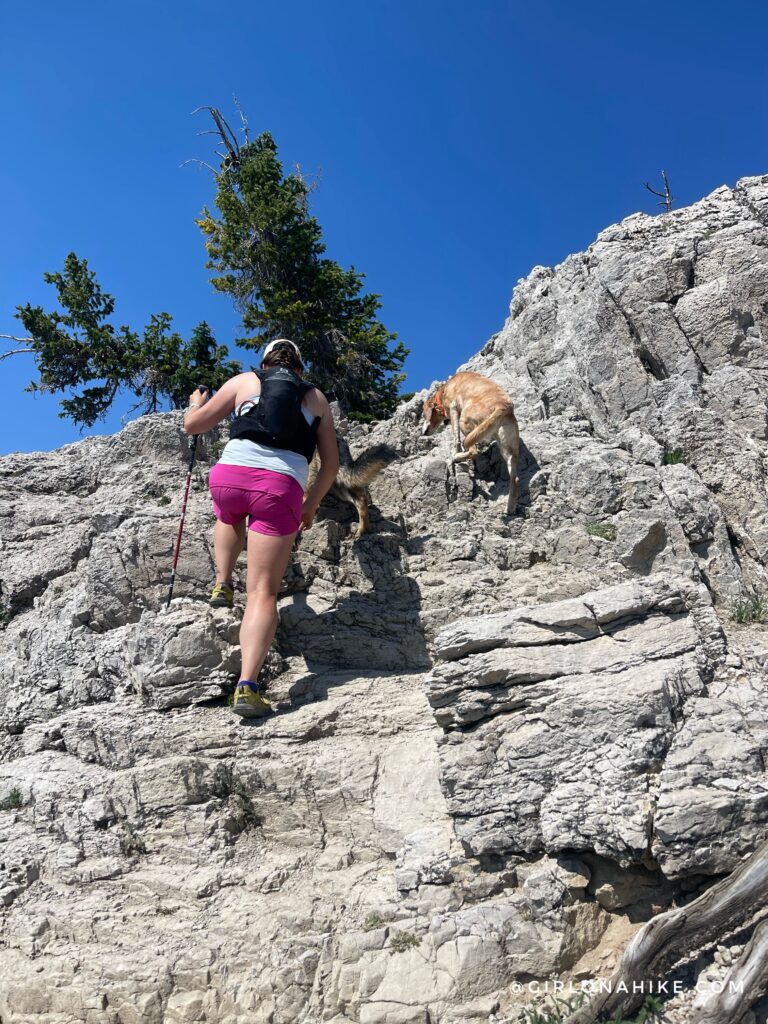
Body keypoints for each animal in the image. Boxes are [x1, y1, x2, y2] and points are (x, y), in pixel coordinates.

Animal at [421, 368, 524, 516]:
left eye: (424, 415)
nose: (423, 433)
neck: (444, 391)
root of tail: (503, 406)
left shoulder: (453, 409)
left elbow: (456, 439)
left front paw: (456, 451)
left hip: (464, 420)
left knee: (473, 450)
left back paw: (456, 457)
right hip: (508, 447)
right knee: (515, 479)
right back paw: (510, 507)